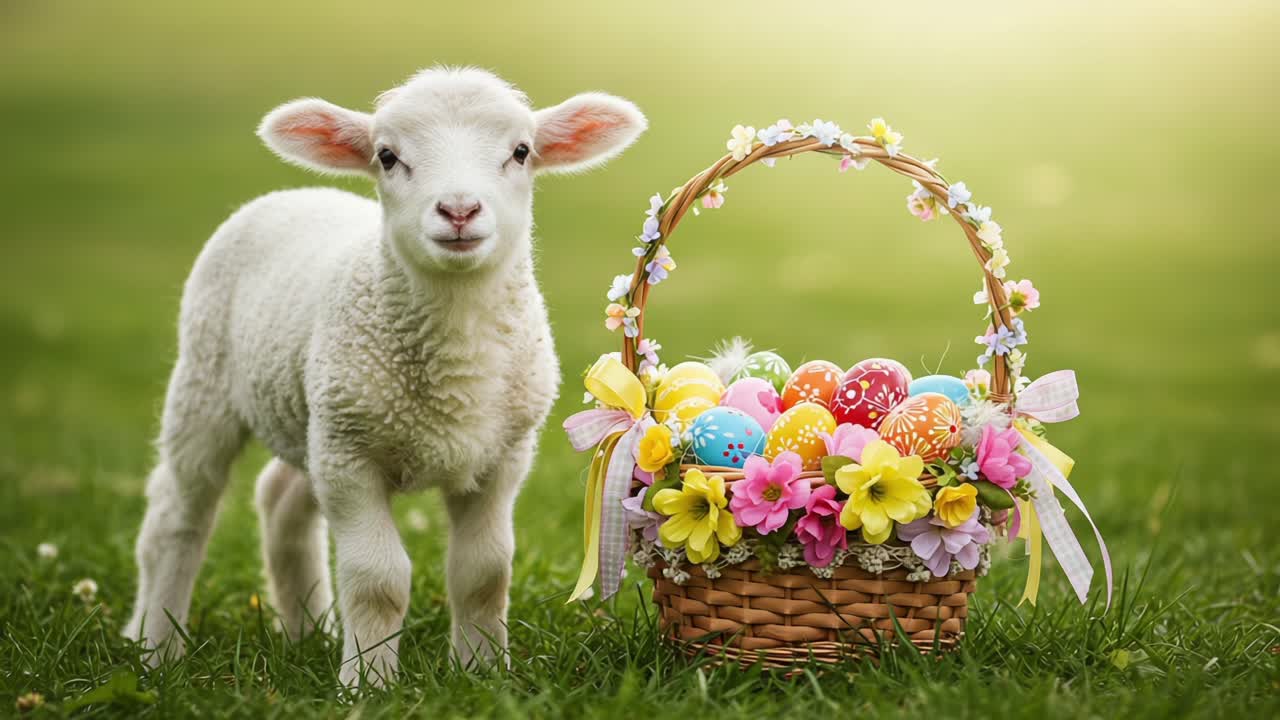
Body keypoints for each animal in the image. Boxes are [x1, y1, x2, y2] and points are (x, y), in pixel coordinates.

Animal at [122, 67, 647, 688]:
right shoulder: (351, 460)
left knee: (280, 499)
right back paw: (156, 646)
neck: (457, 363)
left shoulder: (501, 457)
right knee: (177, 515)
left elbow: (484, 571)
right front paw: (369, 682)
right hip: (209, 381)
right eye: (388, 156)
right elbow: (378, 579)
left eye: (521, 151)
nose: (460, 210)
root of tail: (297, 192)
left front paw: (480, 671)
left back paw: (309, 633)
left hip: (313, 412)